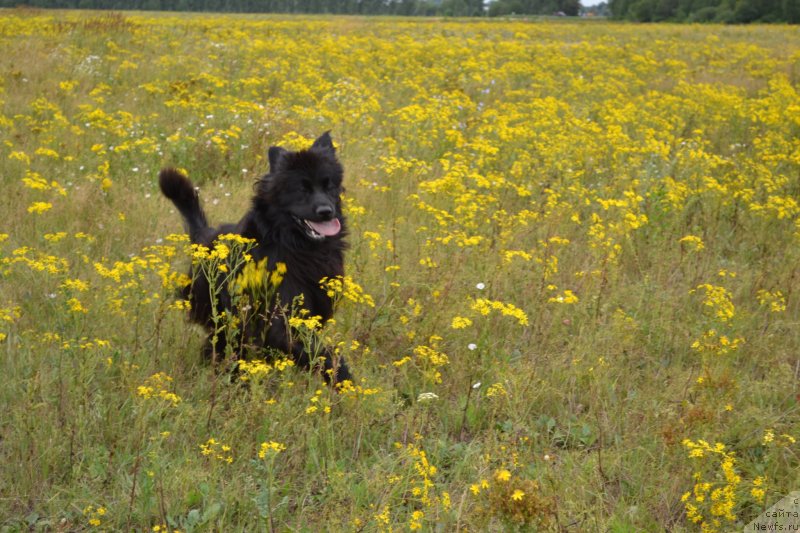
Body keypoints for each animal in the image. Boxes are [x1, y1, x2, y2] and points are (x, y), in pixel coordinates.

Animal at [158, 132, 352, 382]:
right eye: (302, 189)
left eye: (329, 186)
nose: (327, 211)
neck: (293, 245)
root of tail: (204, 235)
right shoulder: (280, 320)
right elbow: (324, 356)